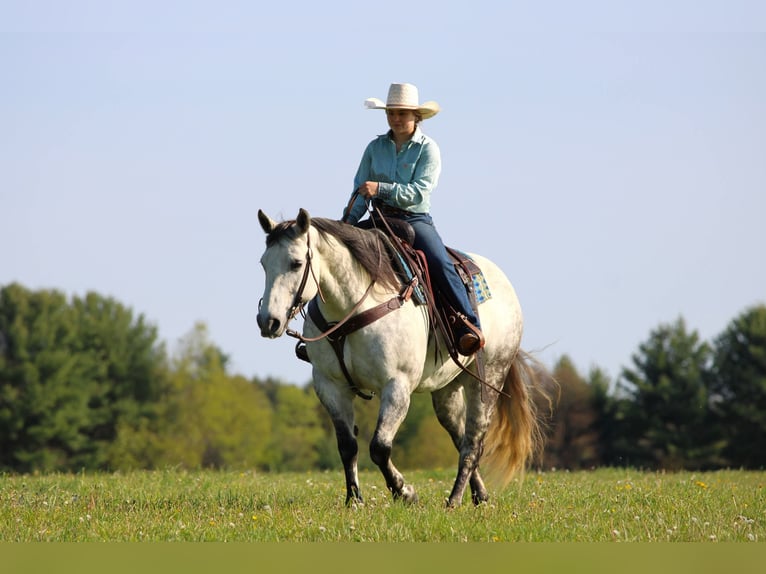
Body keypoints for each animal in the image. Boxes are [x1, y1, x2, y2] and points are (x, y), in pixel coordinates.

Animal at [257, 208, 546, 507]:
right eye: (263, 264)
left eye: (296, 263)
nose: (268, 321)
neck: (351, 308)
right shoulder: (330, 386)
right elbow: (347, 446)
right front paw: (354, 500)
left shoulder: (397, 386)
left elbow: (379, 447)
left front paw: (405, 492)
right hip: (447, 389)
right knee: (459, 436)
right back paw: (480, 496)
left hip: (488, 378)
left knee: (472, 443)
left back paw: (454, 500)